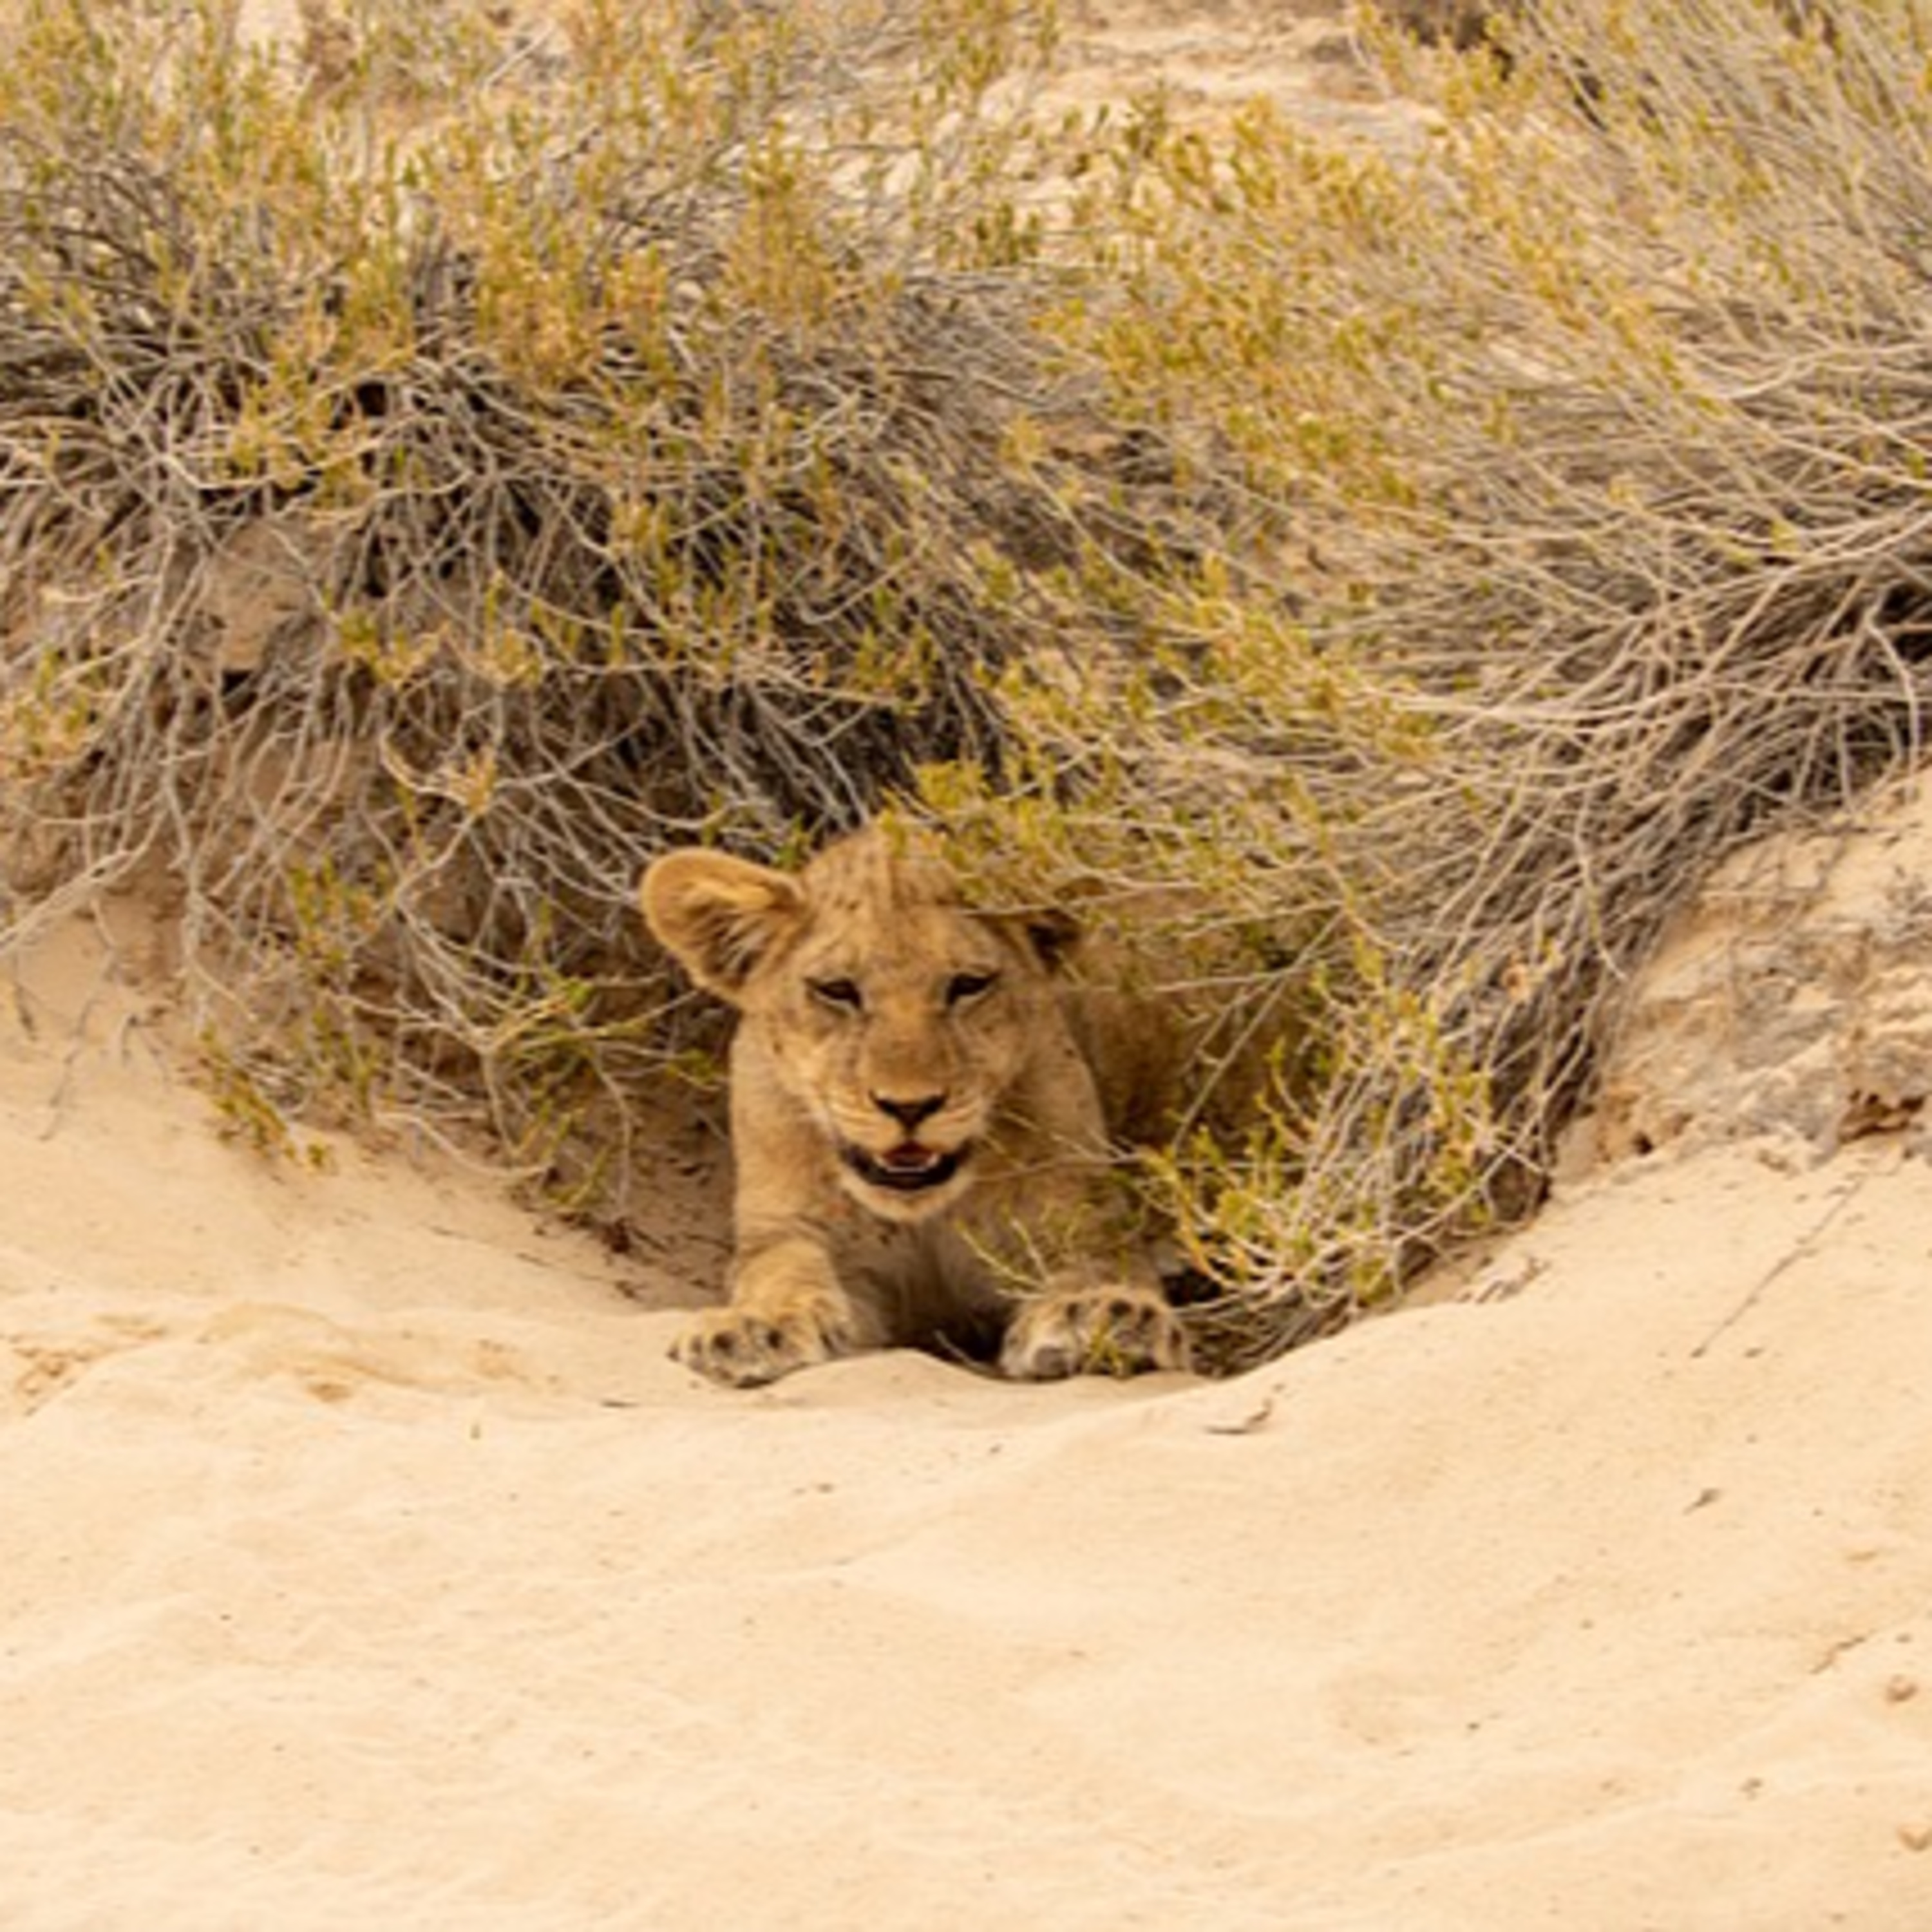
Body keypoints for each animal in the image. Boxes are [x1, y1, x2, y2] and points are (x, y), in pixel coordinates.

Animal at [639, 821, 1192, 1388]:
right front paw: (754, 1326)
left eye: (968, 985)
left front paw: (1103, 1315)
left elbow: (1096, 1262)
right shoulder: (788, 1229)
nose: (910, 1106)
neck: (921, 1216)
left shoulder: (1078, 1218)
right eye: (837, 990)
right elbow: (780, 1272)